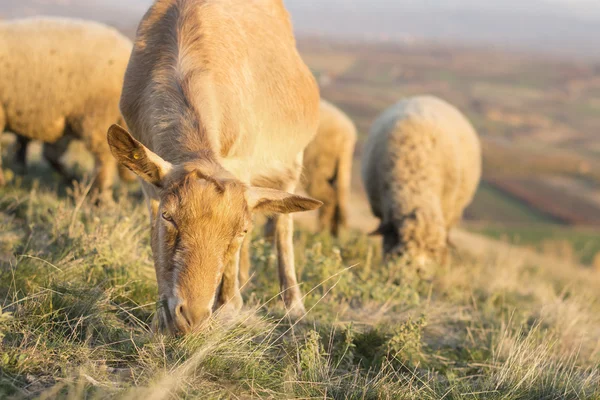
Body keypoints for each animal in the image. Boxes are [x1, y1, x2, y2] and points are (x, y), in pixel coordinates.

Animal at [360, 95, 482, 264]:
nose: (419, 269)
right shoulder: (384, 214)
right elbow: (387, 242)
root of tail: (428, 97)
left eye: (432, 251)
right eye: (402, 251)